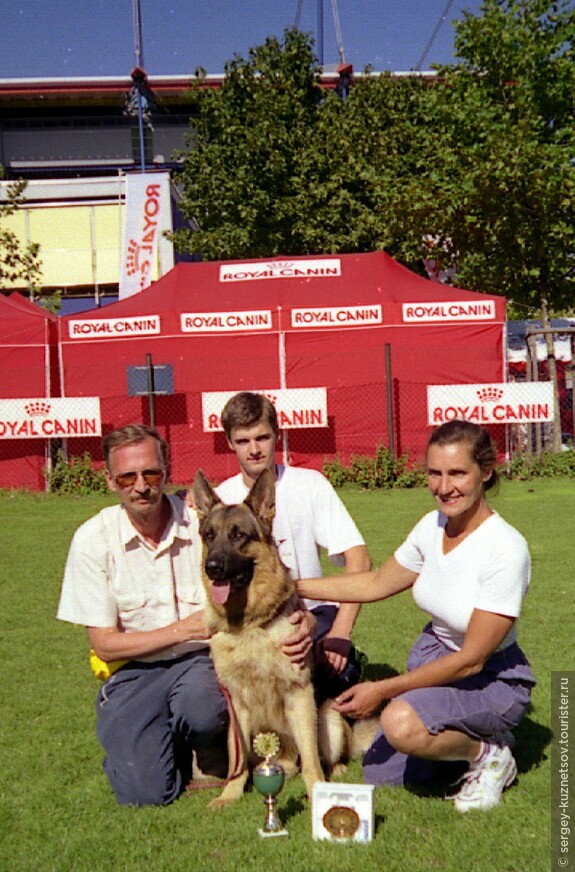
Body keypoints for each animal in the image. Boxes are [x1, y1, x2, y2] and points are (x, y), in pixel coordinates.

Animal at [195, 470, 374, 812]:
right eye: (209, 536)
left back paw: (336, 770)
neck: (251, 625)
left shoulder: (299, 694)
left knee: (324, 756)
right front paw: (230, 794)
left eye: (238, 535)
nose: (212, 568)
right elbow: (237, 760)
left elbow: (313, 762)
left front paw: (318, 792)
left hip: (328, 716)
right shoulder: (236, 705)